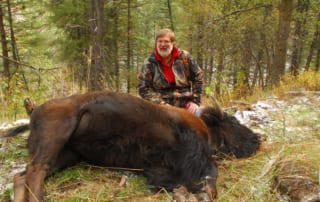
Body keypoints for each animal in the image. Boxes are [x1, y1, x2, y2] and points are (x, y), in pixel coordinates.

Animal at [8, 90, 260, 201]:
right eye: (234, 122)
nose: (257, 139)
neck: (204, 126)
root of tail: (35, 112)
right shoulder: (193, 154)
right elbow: (210, 174)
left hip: (67, 155)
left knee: (22, 176)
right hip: (56, 137)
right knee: (35, 171)